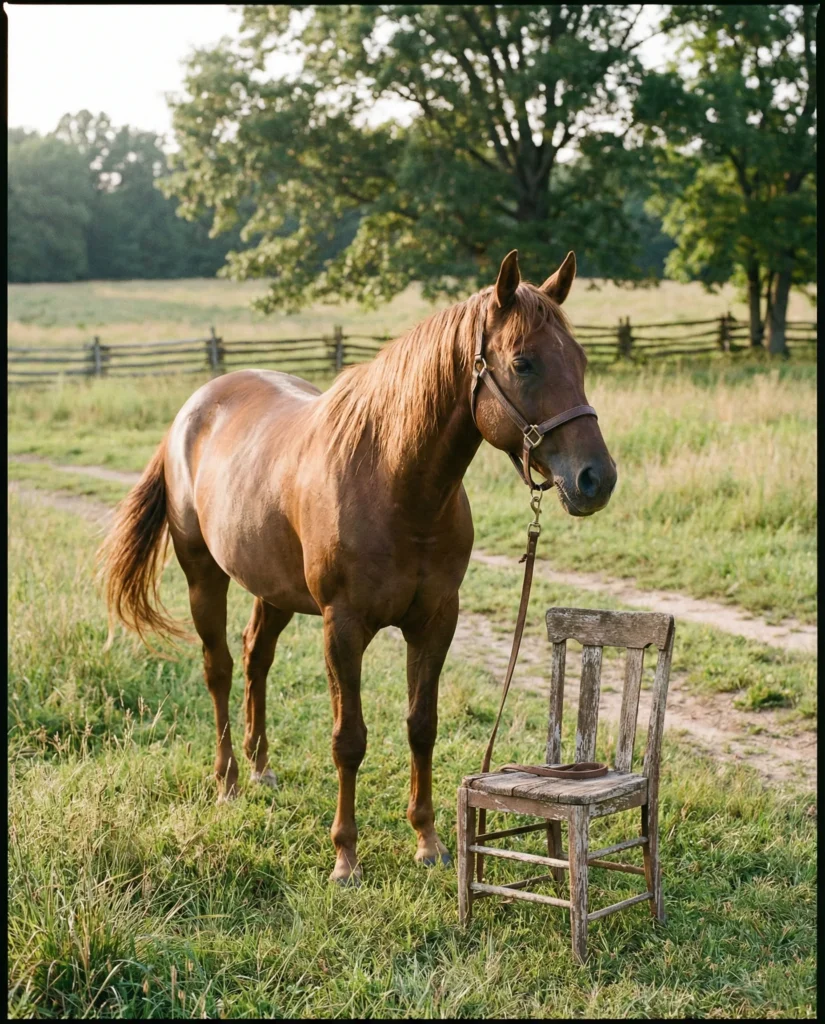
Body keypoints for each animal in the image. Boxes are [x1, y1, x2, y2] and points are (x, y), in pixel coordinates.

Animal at [100, 249, 617, 884]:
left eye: (580, 360)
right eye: (523, 363)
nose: (596, 479)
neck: (396, 483)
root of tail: (192, 411)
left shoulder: (435, 621)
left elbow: (422, 726)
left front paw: (428, 840)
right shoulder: (342, 627)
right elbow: (349, 739)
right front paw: (345, 856)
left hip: (272, 589)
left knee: (255, 658)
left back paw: (261, 767)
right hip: (204, 577)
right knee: (218, 668)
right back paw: (227, 781)